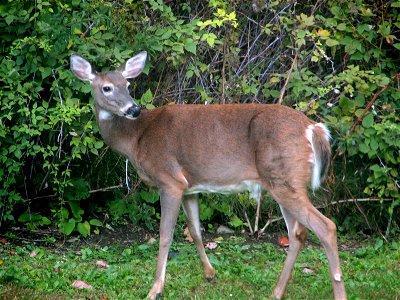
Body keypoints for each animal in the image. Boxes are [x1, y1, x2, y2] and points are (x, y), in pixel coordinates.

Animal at [70, 52, 346, 300]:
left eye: (127, 85)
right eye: (107, 87)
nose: (133, 109)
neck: (137, 138)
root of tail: (314, 129)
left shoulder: (169, 179)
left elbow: (165, 236)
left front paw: (155, 289)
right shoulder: (189, 187)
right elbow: (195, 231)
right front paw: (210, 273)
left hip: (285, 178)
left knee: (326, 227)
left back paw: (336, 293)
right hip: (282, 182)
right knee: (297, 234)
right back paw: (277, 292)